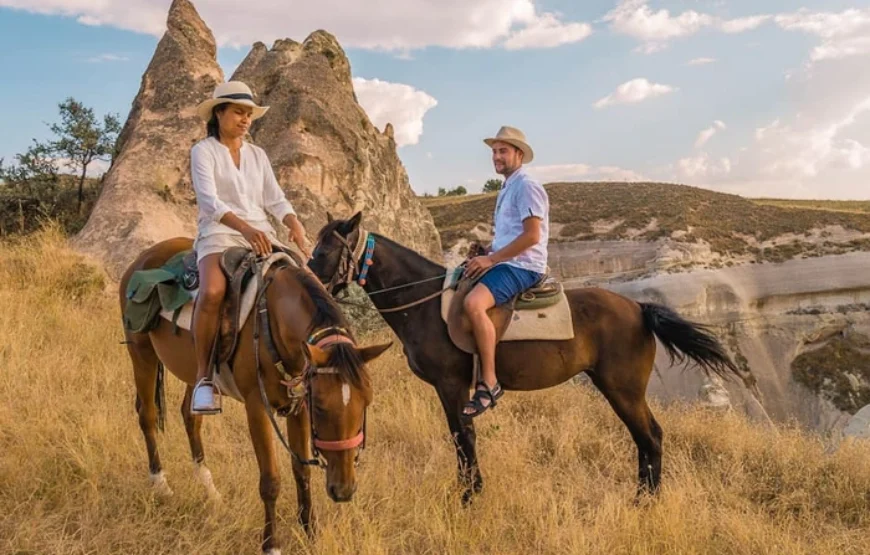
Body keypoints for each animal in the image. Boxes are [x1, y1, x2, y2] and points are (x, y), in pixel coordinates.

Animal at [121, 237, 394, 552]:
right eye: (321, 408)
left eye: (366, 403)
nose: (344, 490)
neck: (272, 320)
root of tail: (142, 258)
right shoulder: (258, 408)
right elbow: (271, 480)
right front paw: (271, 544)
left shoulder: (298, 407)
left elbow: (301, 470)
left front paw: (310, 531)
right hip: (142, 355)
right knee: (147, 416)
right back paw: (161, 484)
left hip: (196, 371)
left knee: (191, 417)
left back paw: (210, 490)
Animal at [308, 215, 748, 506]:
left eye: (325, 250)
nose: (309, 279)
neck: (427, 304)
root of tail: (639, 308)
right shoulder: (448, 390)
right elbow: (460, 438)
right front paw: (468, 491)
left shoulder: (452, 386)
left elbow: (464, 437)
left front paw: (469, 497)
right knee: (643, 439)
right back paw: (642, 497)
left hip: (622, 388)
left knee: (651, 436)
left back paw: (646, 502)